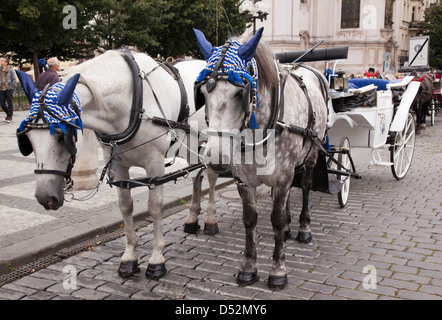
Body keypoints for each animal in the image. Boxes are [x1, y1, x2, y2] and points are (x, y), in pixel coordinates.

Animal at [16, 50, 220, 280]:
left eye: (62, 137)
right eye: (27, 139)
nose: (45, 197)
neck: (132, 101)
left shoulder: (155, 165)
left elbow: (155, 208)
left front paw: (156, 259)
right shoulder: (119, 165)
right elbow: (125, 207)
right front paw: (129, 258)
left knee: (211, 176)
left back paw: (210, 220)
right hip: (191, 145)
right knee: (197, 176)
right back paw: (192, 218)